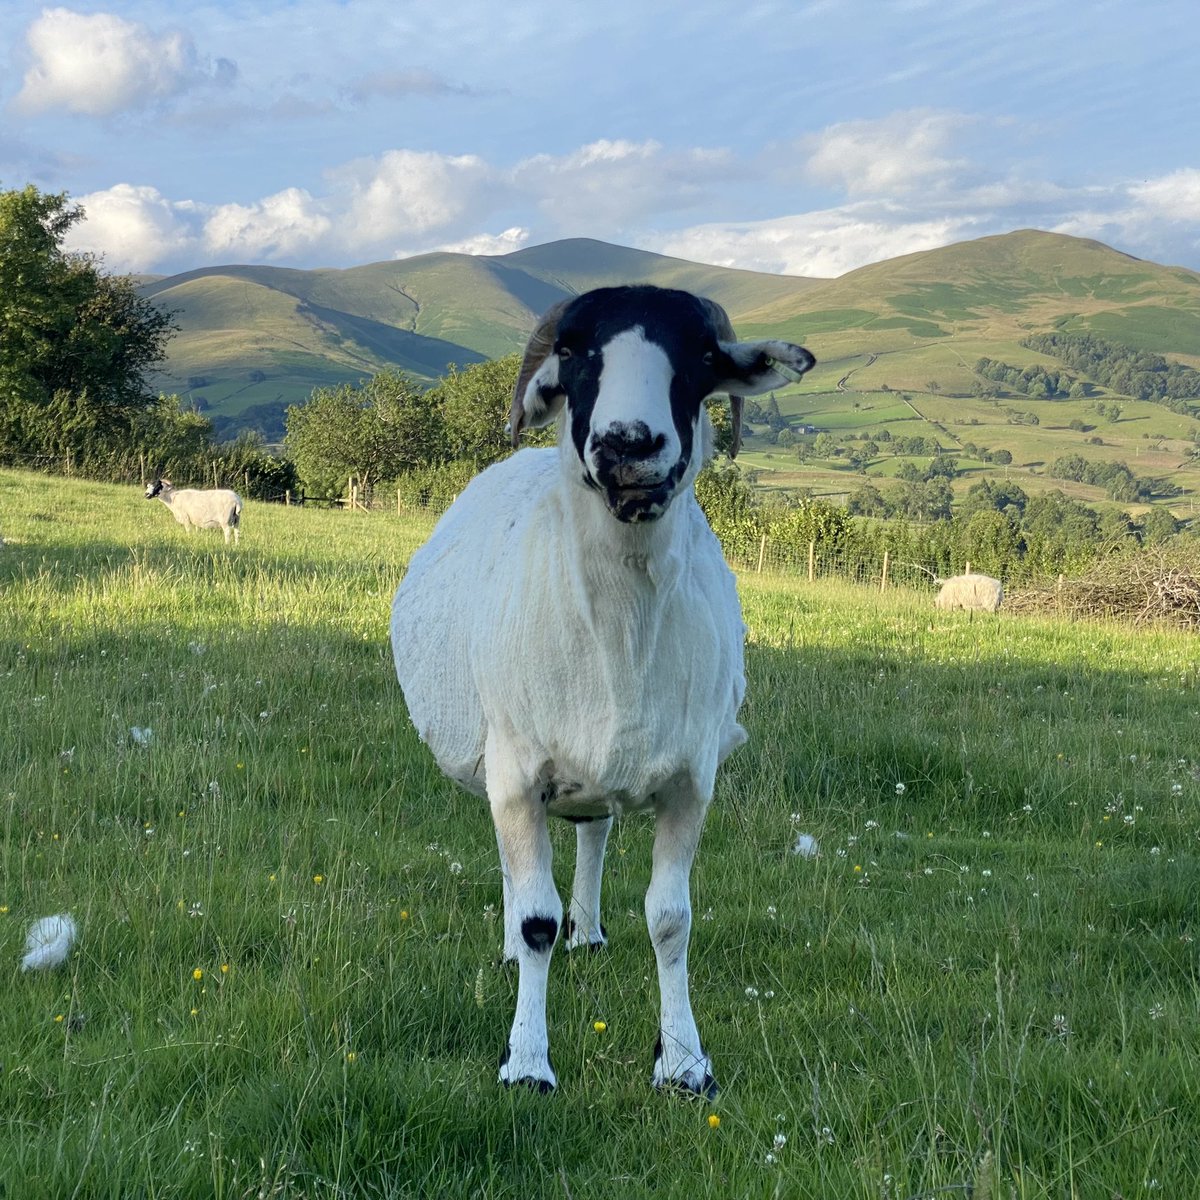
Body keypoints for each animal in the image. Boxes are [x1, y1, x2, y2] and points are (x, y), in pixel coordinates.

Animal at [390, 285, 815, 1095]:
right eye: (576, 352)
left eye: (701, 356)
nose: (629, 443)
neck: (621, 628)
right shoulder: (515, 771)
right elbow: (534, 920)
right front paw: (528, 1062)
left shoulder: (690, 781)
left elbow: (672, 919)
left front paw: (683, 1062)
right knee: (522, 876)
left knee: (592, 832)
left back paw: (586, 931)